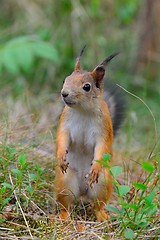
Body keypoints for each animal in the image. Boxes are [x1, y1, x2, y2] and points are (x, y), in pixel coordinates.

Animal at [54, 47, 124, 221]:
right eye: (66, 79)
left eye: (87, 86)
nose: (64, 93)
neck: (83, 110)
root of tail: (82, 192)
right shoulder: (65, 122)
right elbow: (62, 137)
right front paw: (61, 155)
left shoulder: (104, 129)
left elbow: (102, 146)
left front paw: (96, 166)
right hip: (66, 181)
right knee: (66, 203)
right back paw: (64, 216)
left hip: (102, 183)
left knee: (98, 204)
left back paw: (103, 216)